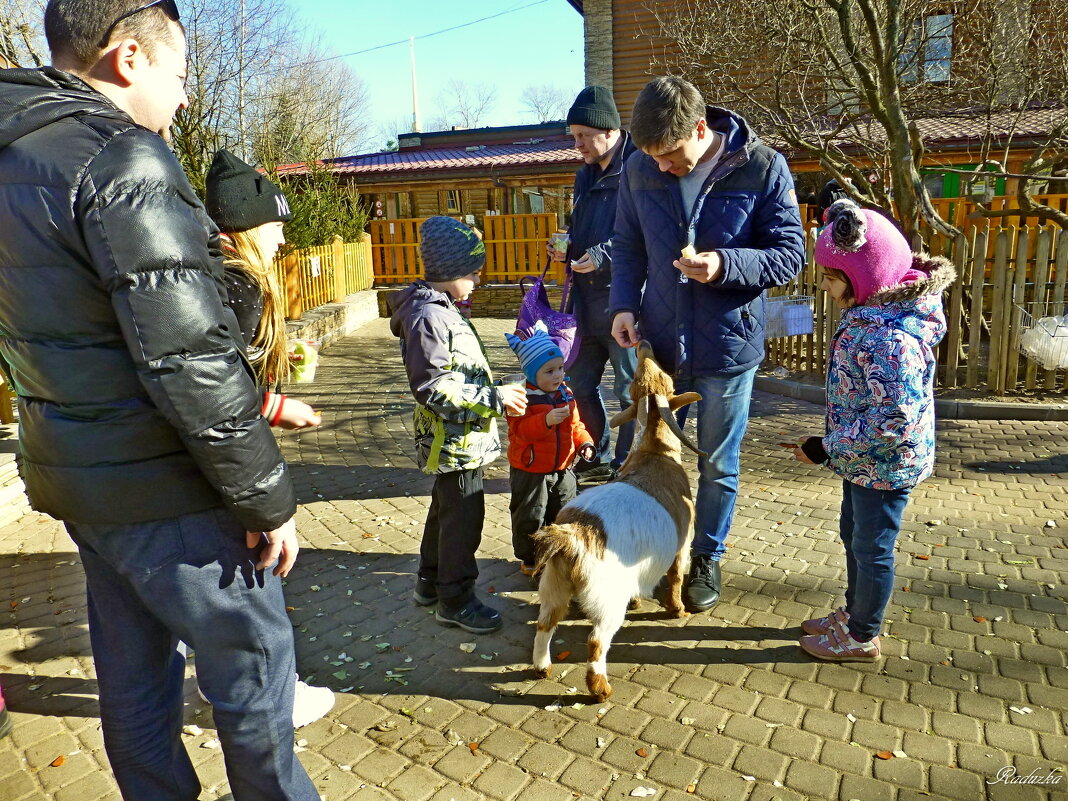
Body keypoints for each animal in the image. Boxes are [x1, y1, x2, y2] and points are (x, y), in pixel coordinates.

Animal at [531, 341, 700, 700]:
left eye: (647, 375)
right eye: (666, 376)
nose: (643, 344)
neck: (656, 452)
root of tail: (575, 534)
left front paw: (640, 601)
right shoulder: (682, 546)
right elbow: (675, 579)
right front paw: (677, 610)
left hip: (554, 584)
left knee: (545, 623)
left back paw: (541, 667)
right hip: (607, 600)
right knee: (596, 641)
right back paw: (600, 688)